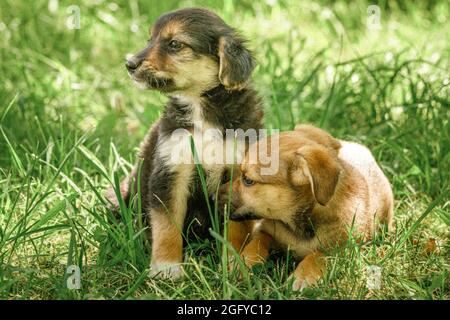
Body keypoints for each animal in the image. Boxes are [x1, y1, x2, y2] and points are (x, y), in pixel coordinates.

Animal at [107, 6, 264, 278]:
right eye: (150, 39)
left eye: (175, 44)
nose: (129, 64)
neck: (201, 107)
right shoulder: (171, 171)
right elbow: (167, 226)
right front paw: (166, 268)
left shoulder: (238, 174)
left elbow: (236, 229)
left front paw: (232, 265)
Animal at [221, 124, 394, 290]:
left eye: (248, 180)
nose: (215, 195)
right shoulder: (267, 230)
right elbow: (257, 241)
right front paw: (244, 262)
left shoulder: (346, 247)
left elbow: (319, 254)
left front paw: (304, 275)